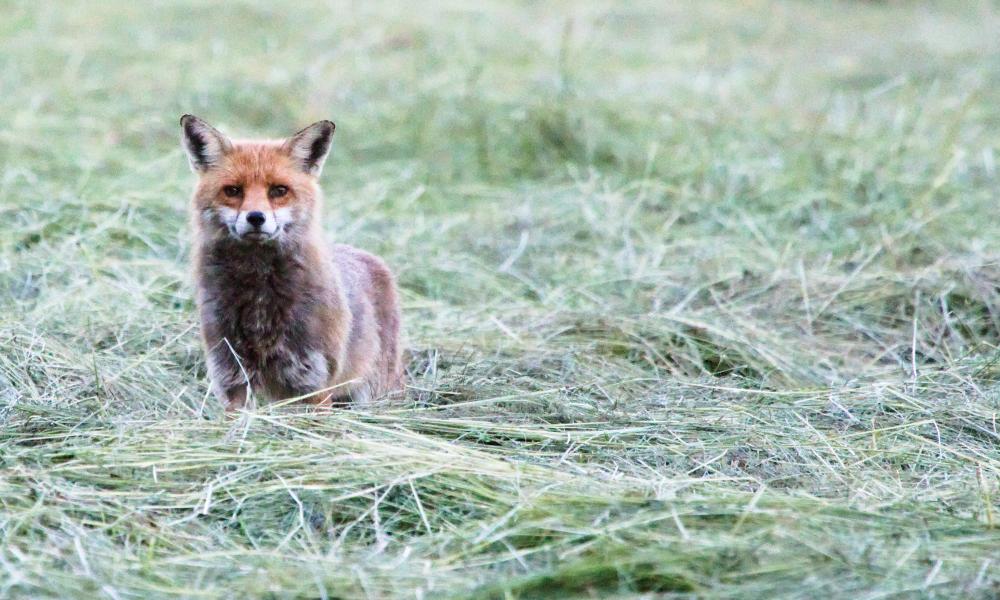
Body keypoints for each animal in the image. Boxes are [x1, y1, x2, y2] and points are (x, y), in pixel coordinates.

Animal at [180, 114, 404, 411]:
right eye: (233, 191)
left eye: (279, 190)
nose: (256, 217)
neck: (259, 302)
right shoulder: (231, 377)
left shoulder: (314, 383)